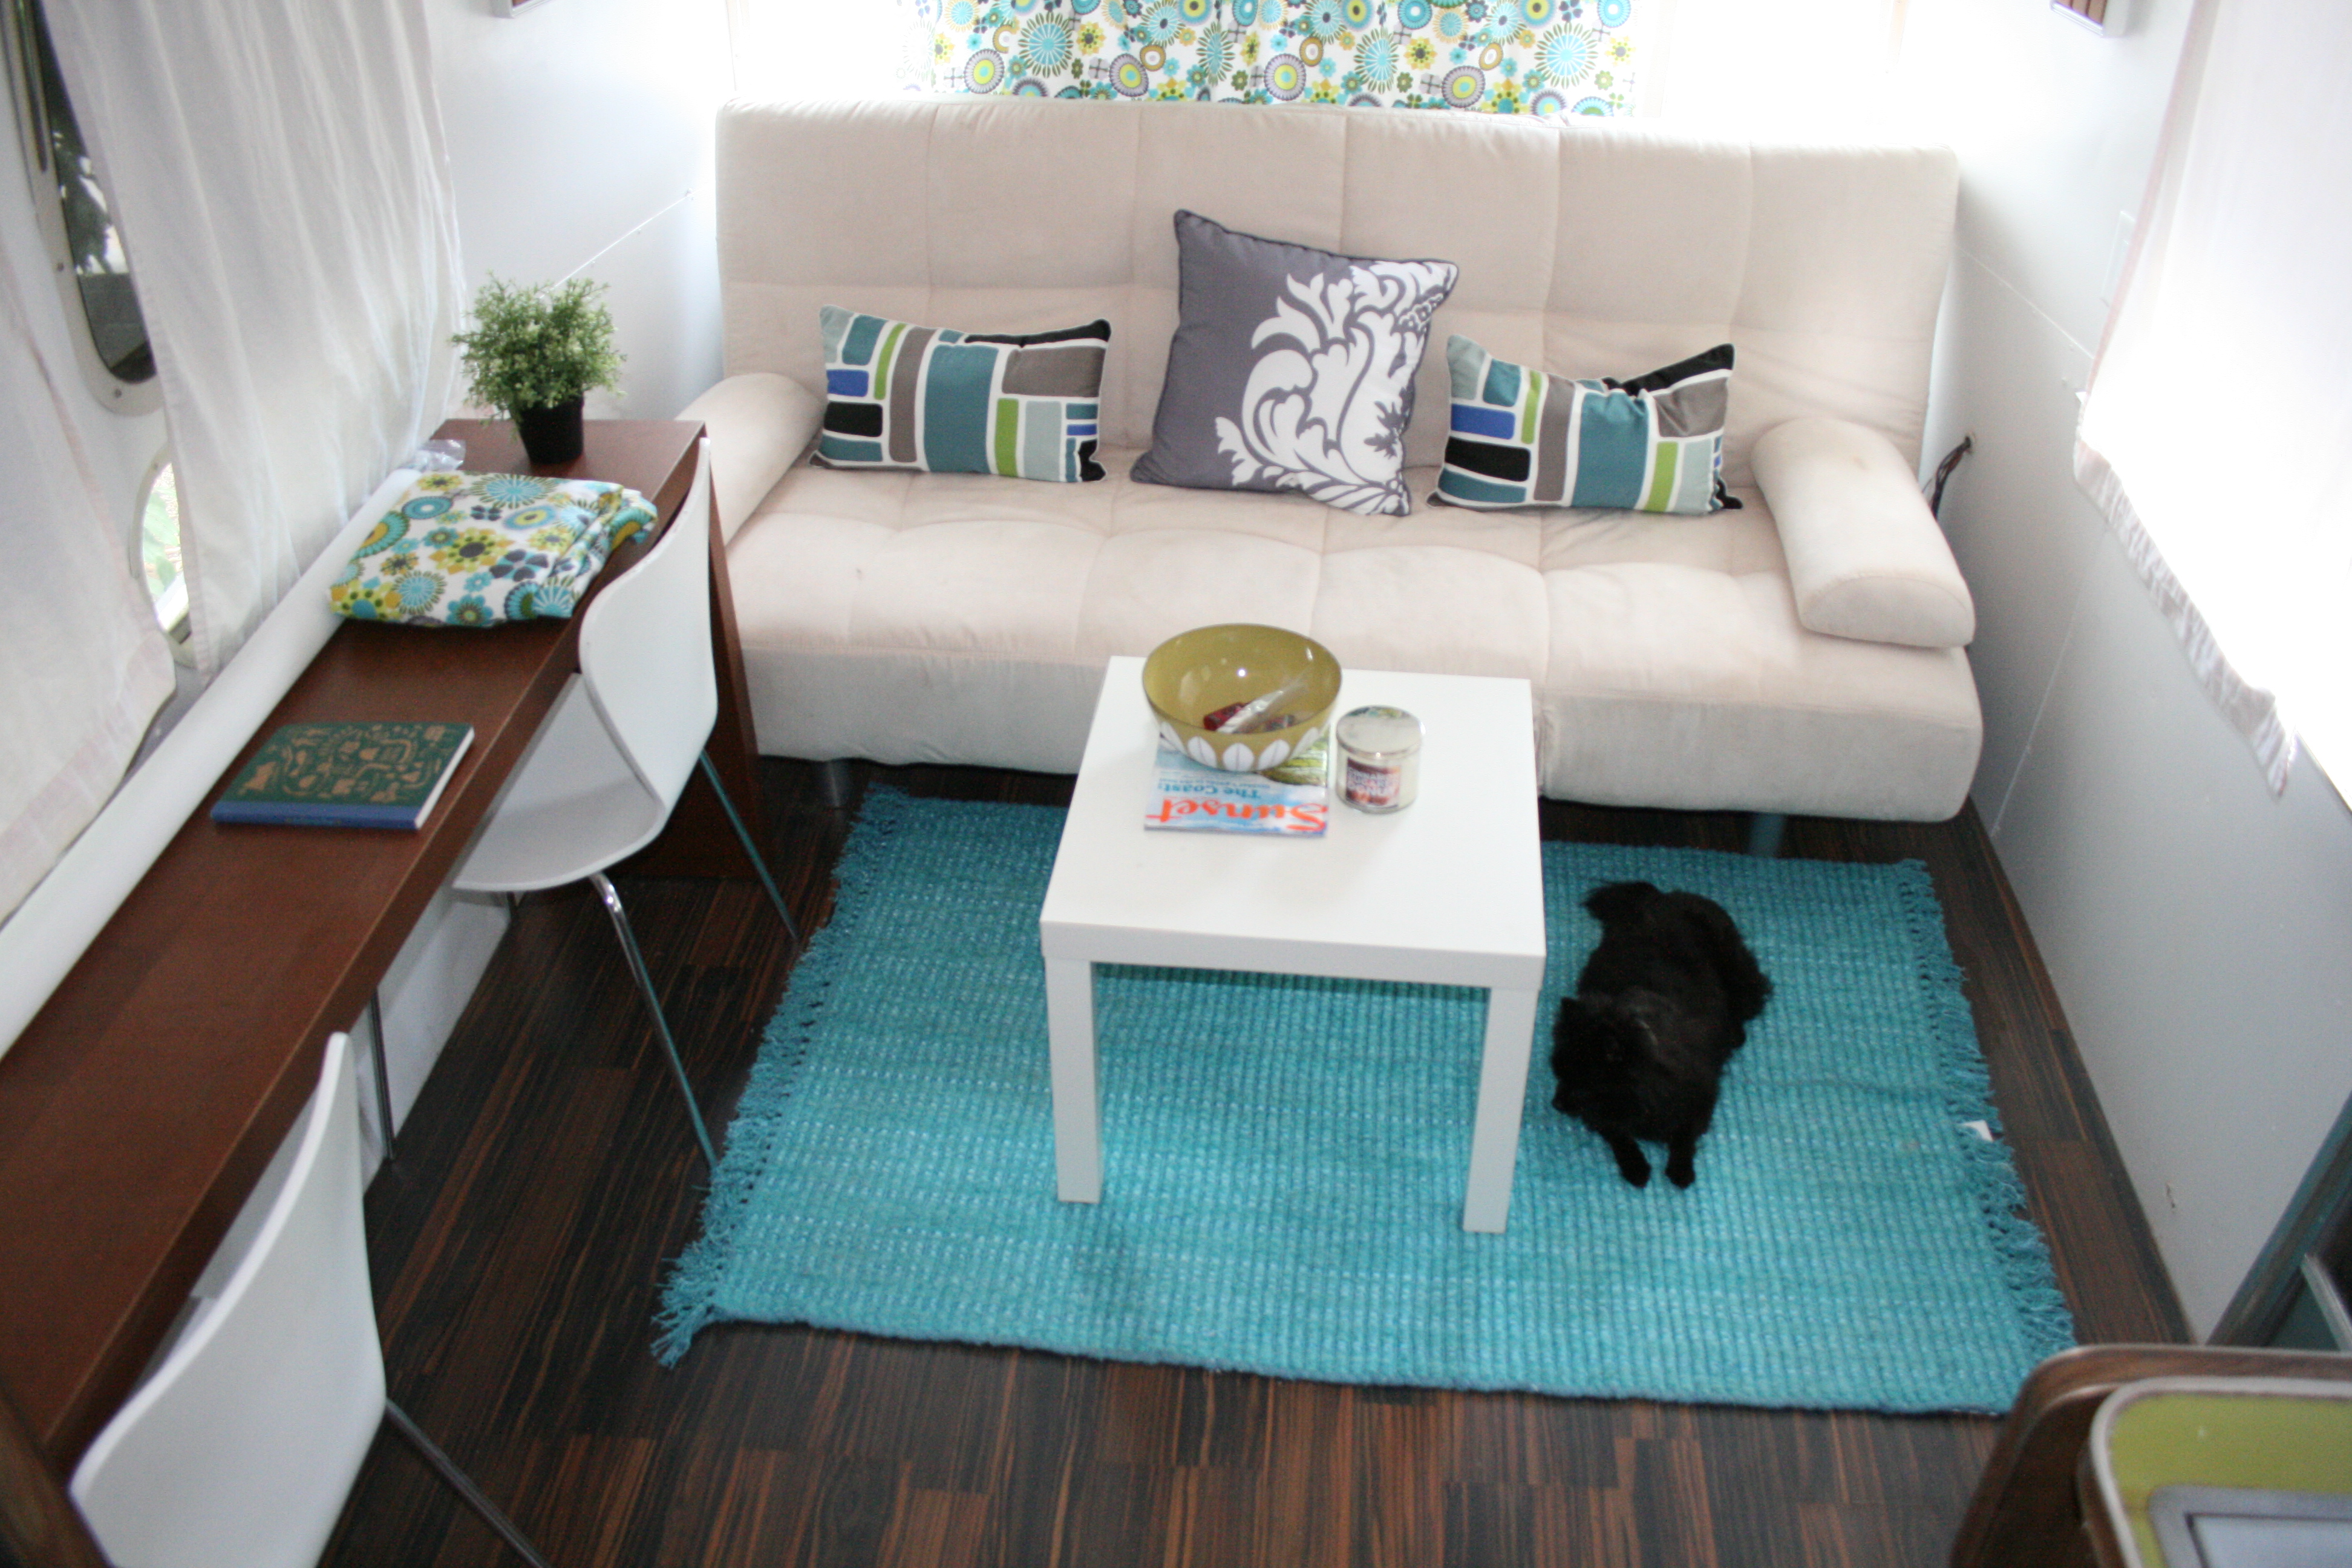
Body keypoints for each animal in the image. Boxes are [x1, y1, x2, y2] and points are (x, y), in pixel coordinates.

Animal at [1549, 880, 1772, 1189]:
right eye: (1559, 1074)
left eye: (1583, 1083)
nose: (1555, 1104)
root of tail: (1662, 896)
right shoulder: (1608, 1114)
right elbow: (1619, 1135)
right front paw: (1636, 1167)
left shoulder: (1700, 1097)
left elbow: (1683, 1135)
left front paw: (1680, 1169)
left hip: (1738, 976)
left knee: (1745, 1001)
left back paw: (1735, 1035)